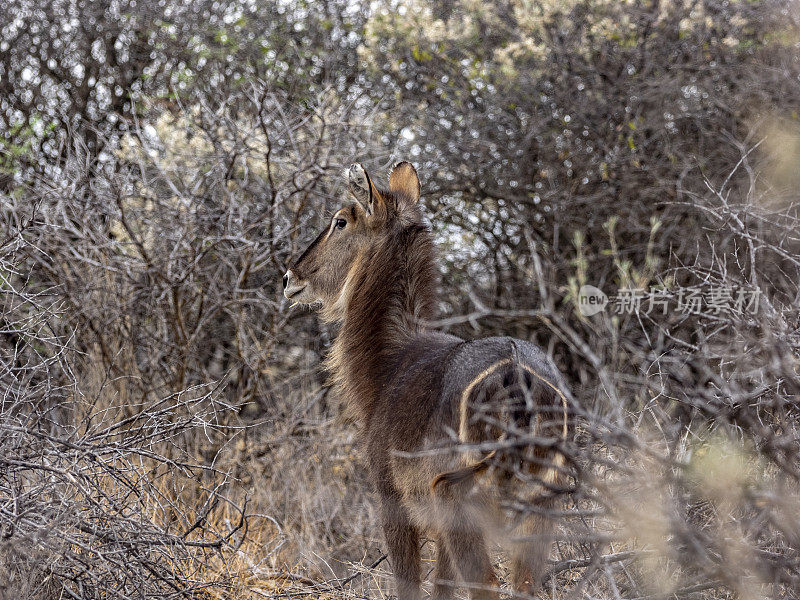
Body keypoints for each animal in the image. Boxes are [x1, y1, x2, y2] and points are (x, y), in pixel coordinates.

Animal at [284, 162, 572, 596]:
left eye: (340, 220)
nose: (290, 278)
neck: (391, 359)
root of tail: (517, 376)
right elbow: (442, 588)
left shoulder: (393, 501)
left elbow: (409, 586)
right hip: (540, 500)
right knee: (525, 583)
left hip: (458, 495)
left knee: (486, 583)